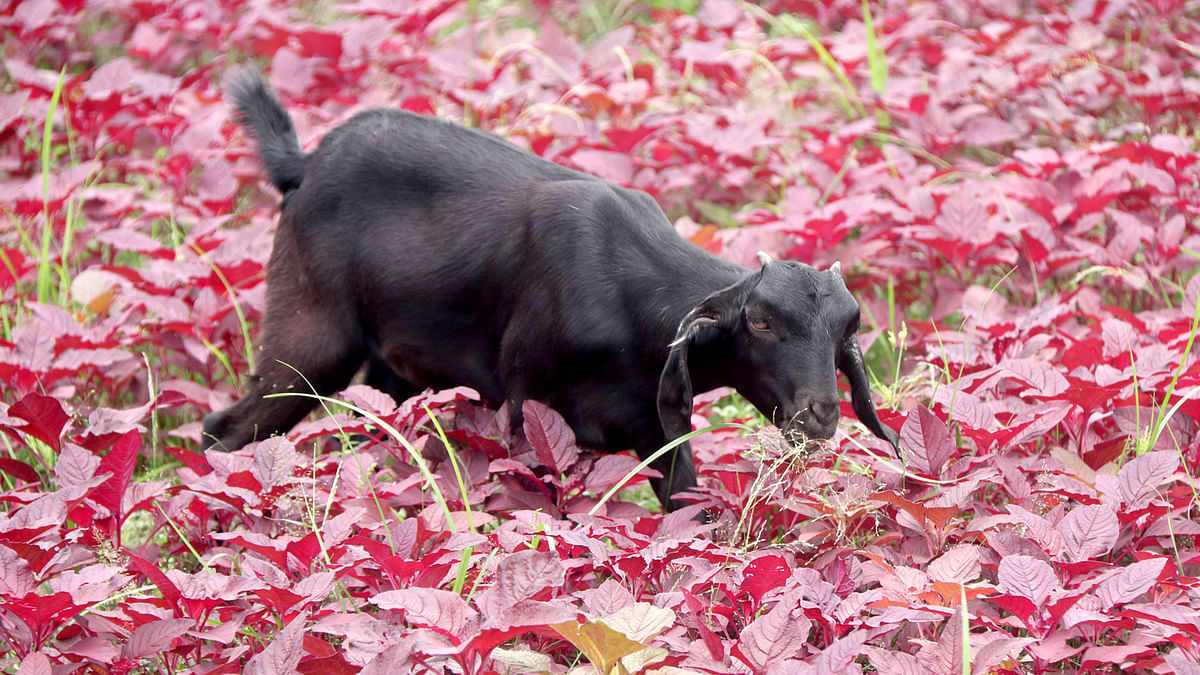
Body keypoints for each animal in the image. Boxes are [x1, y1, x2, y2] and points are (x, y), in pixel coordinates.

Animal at [206, 69, 902, 509]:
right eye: (759, 321)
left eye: (848, 328)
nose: (821, 414)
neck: (631, 304)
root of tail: (303, 164)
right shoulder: (525, 412)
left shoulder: (657, 430)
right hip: (310, 334)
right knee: (226, 427)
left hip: (393, 372)